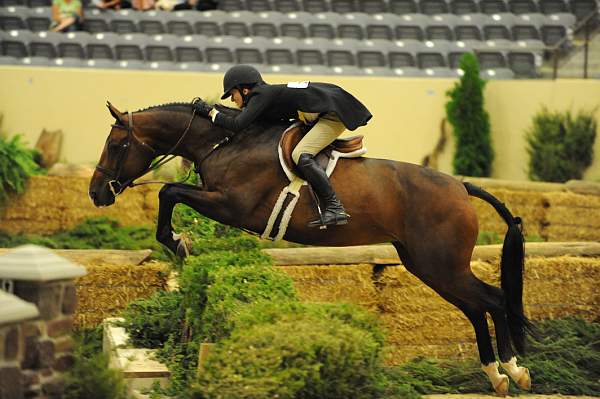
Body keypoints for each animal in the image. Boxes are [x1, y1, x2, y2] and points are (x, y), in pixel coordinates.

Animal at [86, 101, 532, 396]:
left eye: (116, 146)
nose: (96, 193)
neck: (225, 142)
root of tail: (462, 186)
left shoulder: (231, 205)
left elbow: (168, 191)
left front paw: (178, 242)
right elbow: (171, 192)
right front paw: (180, 242)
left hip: (442, 264)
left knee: (493, 299)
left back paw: (514, 370)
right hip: (426, 265)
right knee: (476, 307)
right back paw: (496, 375)